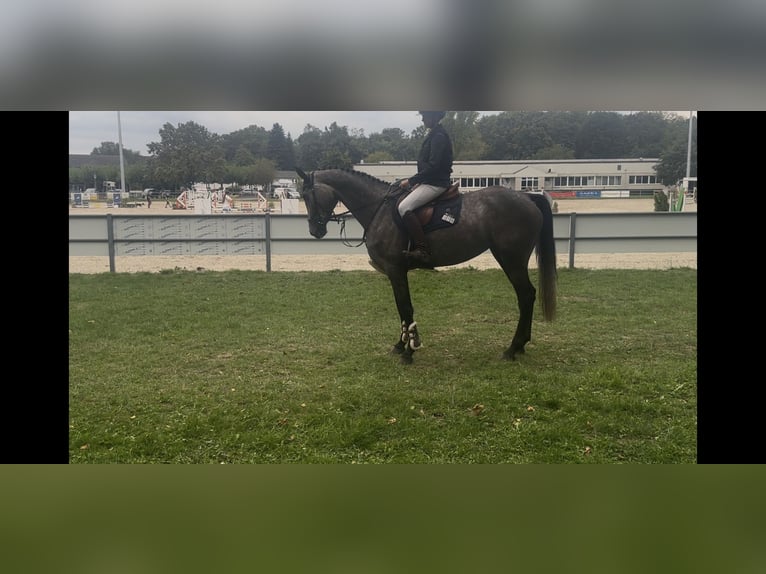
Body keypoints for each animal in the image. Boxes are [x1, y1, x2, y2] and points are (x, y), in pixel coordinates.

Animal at [295, 167, 557, 365]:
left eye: (309, 195)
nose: (315, 230)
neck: (380, 210)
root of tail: (526, 197)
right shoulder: (394, 274)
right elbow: (401, 310)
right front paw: (400, 345)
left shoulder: (396, 271)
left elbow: (406, 307)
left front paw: (409, 351)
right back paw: (520, 346)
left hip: (511, 260)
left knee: (526, 295)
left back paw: (513, 348)